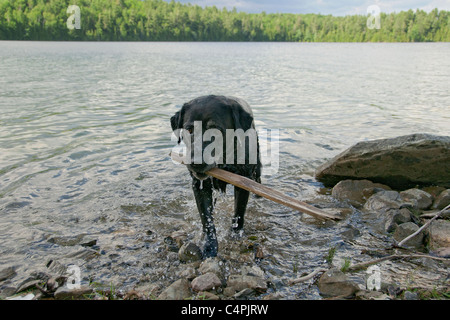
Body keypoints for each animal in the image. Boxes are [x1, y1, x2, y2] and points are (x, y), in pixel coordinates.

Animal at [169, 95, 262, 258]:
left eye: (216, 130)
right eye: (190, 129)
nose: (195, 162)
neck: (224, 161)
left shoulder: (244, 181)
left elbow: (239, 213)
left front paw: (235, 235)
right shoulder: (200, 185)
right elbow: (206, 218)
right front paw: (209, 245)